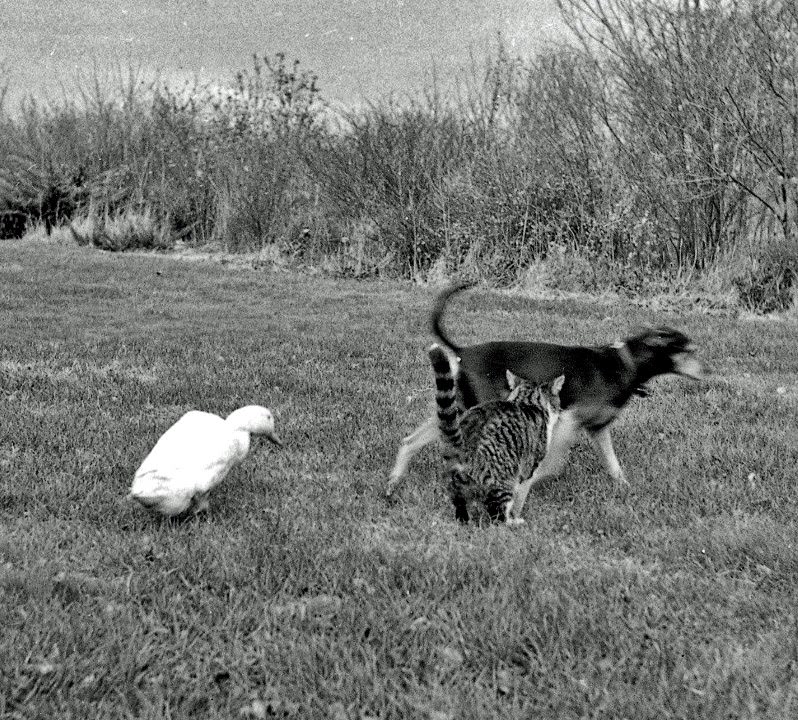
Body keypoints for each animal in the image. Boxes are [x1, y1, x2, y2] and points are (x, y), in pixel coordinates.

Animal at [432, 344, 564, 524]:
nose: (561, 411)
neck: (527, 401)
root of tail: (464, 448)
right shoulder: (528, 468)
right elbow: (521, 495)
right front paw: (517, 514)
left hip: (455, 483)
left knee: (460, 504)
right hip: (504, 480)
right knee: (497, 516)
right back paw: (512, 523)